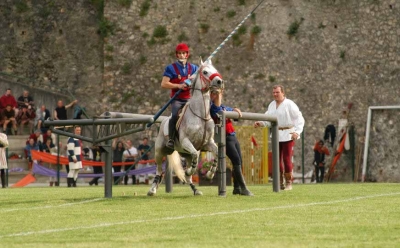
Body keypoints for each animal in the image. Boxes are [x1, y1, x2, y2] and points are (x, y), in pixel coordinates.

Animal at [148, 59, 225, 197]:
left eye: (215, 70)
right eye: (205, 72)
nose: (220, 82)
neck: (201, 116)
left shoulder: (207, 143)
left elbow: (216, 152)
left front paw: (210, 174)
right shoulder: (186, 142)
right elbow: (194, 156)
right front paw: (189, 171)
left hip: (184, 153)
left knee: (187, 175)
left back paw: (195, 189)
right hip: (159, 152)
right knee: (158, 171)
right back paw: (152, 190)